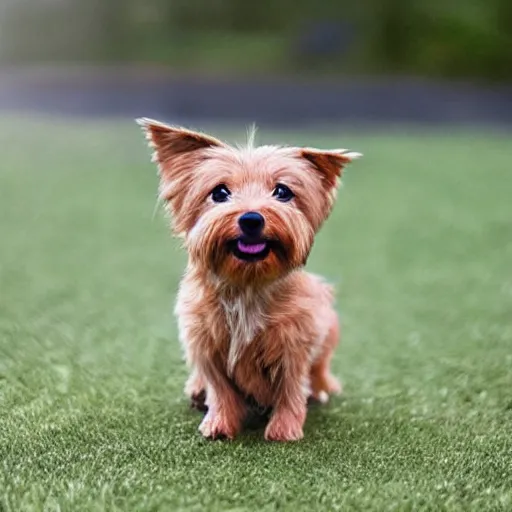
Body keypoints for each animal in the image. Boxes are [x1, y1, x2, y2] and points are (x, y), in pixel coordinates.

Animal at [137, 119, 360, 440]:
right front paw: (219, 424)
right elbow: (220, 389)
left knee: (319, 370)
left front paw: (284, 430)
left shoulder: (295, 343)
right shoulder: (206, 345)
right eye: (219, 193)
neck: (247, 283)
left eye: (282, 192)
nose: (251, 219)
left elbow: (291, 388)